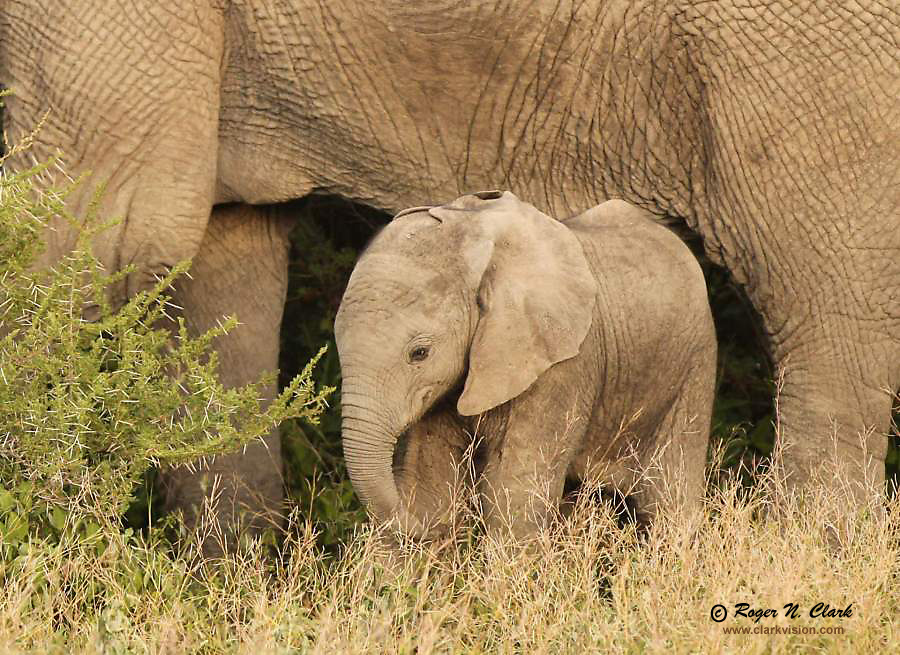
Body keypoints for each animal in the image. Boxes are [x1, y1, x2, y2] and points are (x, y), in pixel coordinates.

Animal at [334, 192, 712, 540]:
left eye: (419, 353)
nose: (420, 528)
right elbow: (430, 486)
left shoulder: (563, 364)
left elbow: (516, 493)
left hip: (693, 369)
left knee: (669, 501)